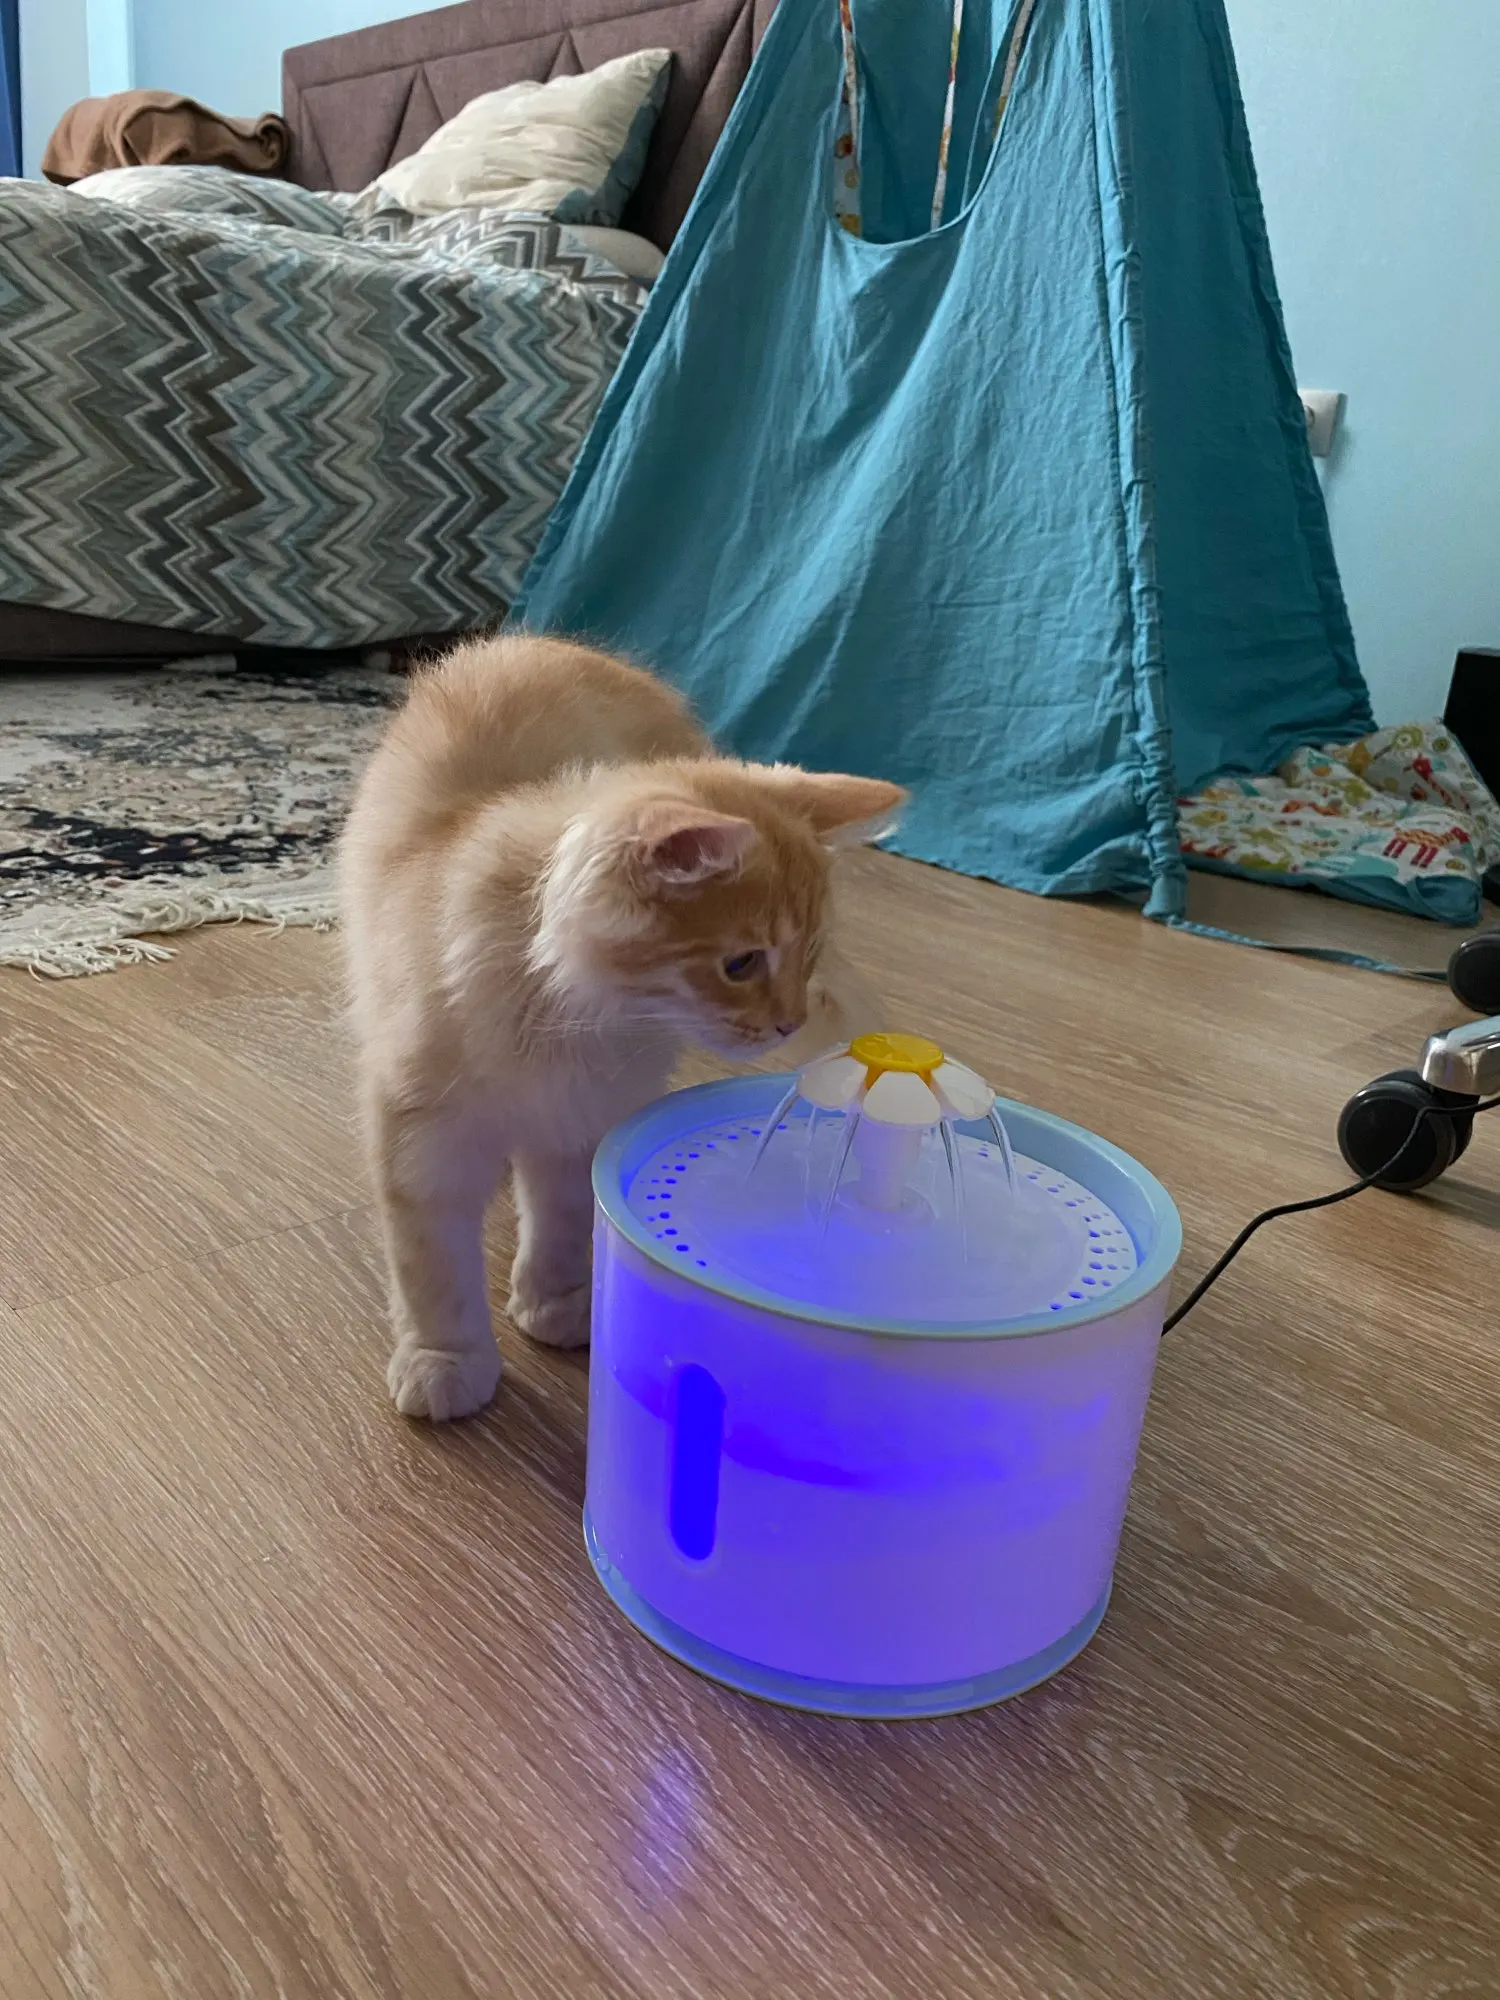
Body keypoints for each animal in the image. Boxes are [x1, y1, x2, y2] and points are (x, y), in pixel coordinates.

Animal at [339, 633, 905, 1422]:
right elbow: (433, 1272)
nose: (788, 1022)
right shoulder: (424, 1138)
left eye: (808, 957)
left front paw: (554, 1302)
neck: (566, 1016)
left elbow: (560, 1221)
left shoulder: (580, 1121)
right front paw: (445, 1360)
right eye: (740, 963)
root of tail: (547, 642)